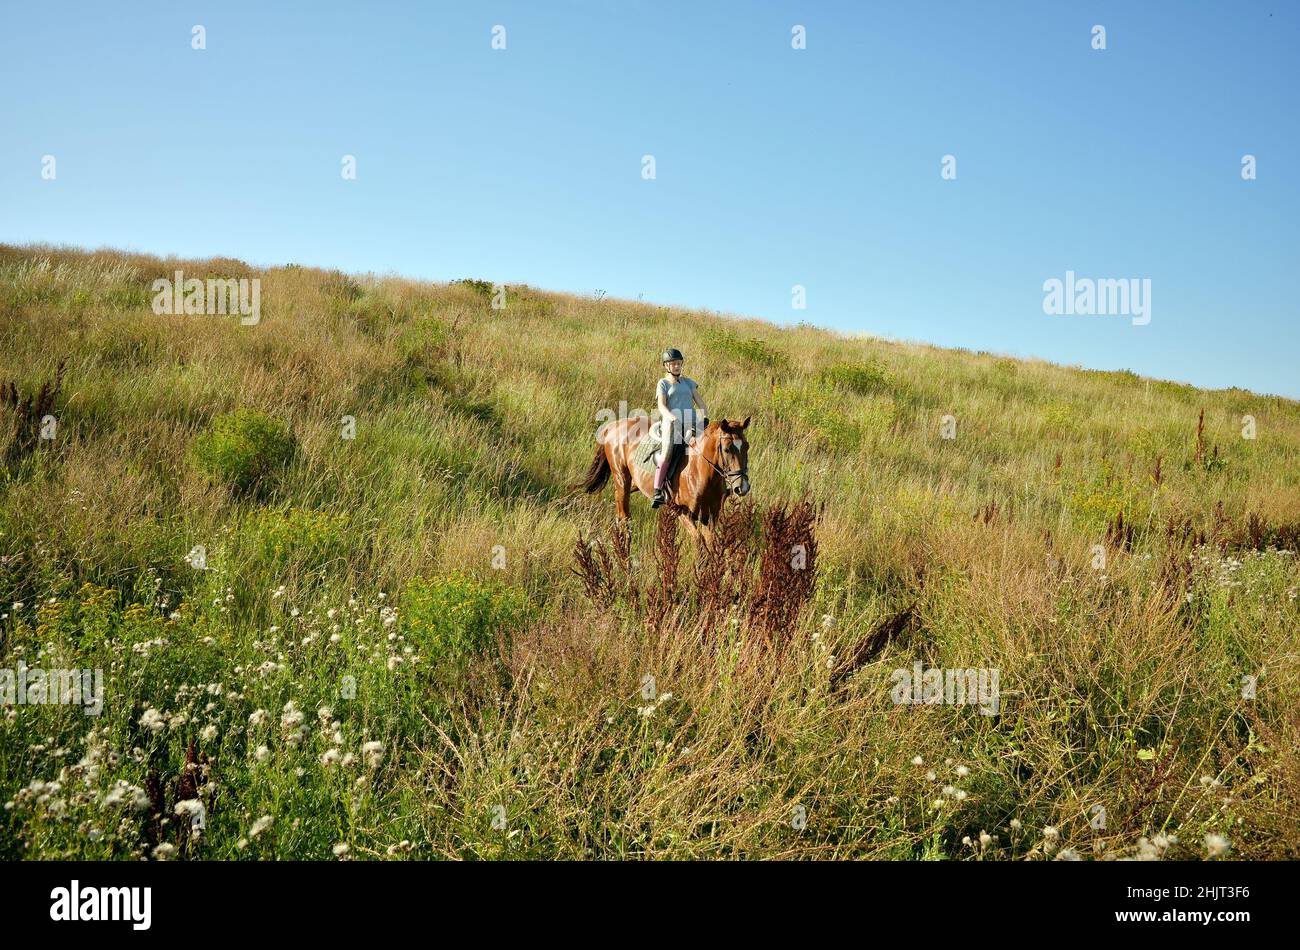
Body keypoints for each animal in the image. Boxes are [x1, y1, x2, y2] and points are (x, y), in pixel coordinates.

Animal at [579, 418, 754, 551]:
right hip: (621, 479)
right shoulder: (681, 511)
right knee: (624, 518)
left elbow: (711, 544)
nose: (742, 487)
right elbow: (699, 541)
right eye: (727, 449)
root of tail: (614, 425)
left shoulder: (711, 516)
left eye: (747, 446)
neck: (701, 473)